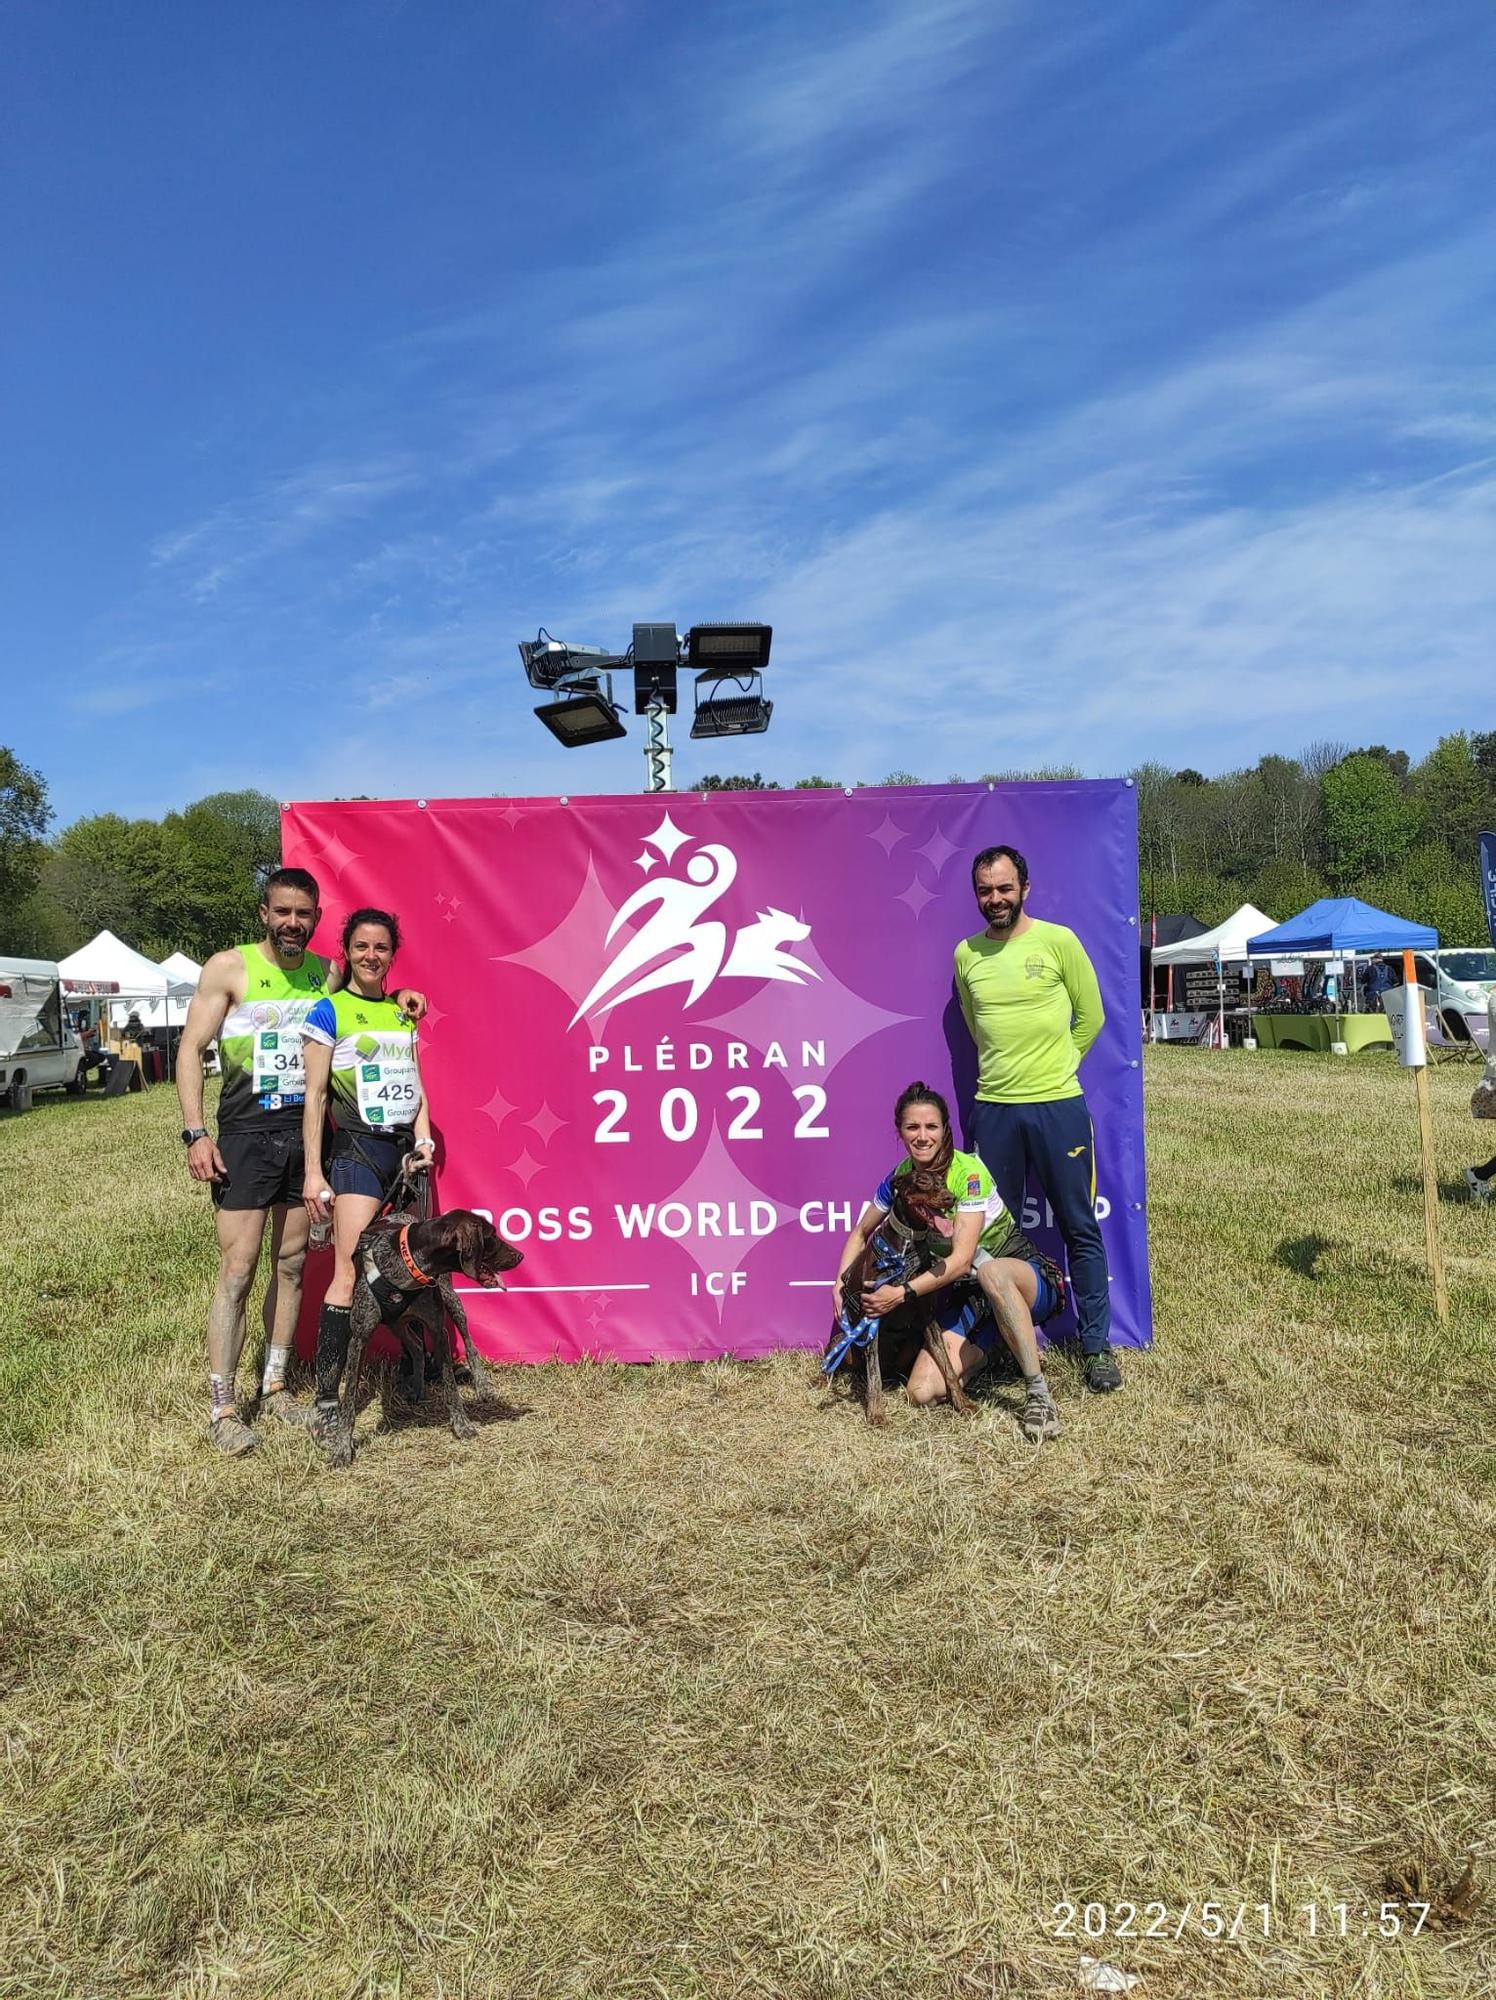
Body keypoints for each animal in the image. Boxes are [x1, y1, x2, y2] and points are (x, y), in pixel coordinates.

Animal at [318, 1200, 524, 1472]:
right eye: (491, 1237)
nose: (520, 1255)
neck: (407, 1265)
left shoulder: (438, 1331)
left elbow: (451, 1387)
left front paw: (462, 1425)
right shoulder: (359, 1339)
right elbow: (349, 1400)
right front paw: (342, 1448)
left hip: (449, 1300)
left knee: (469, 1345)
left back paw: (482, 1386)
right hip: (395, 1323)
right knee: (416, 1347)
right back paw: (417, 1387)